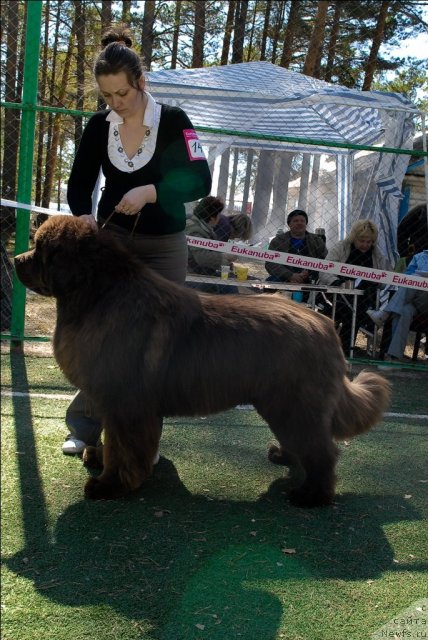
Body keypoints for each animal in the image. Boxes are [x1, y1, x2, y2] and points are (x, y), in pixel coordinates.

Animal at [15, 215, 392, 504]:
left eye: (43, 250)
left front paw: (111, 484)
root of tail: (325, 326)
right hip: (282, 405)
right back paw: (285, 458)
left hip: (295, 404)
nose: (17, 259)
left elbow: (123, 448)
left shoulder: (125, 402)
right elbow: (114, 441)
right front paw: (99, 457)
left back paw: (311, 496)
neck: (98, 293)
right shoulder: (114, 401)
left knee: (323, 451)